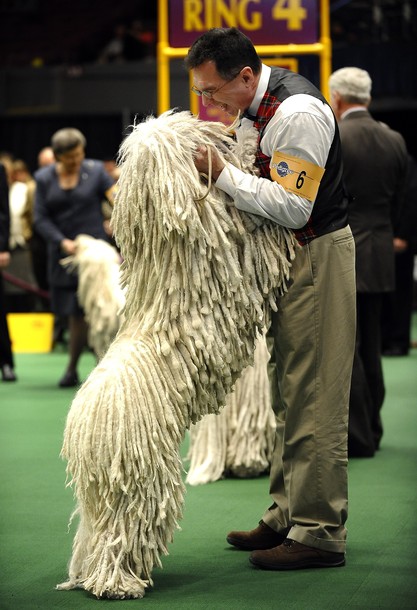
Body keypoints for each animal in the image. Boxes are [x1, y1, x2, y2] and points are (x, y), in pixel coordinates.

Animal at [57, 110, 296, 600]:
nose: (218, 130)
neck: (167, 250)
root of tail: (83, 426)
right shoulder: (237, 246)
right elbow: (261, 229)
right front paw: (248, 151)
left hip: (102, 496)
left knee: (96, 536)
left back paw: (93, 578)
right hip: (141, 476)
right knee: (127, 530)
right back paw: (119, 584)